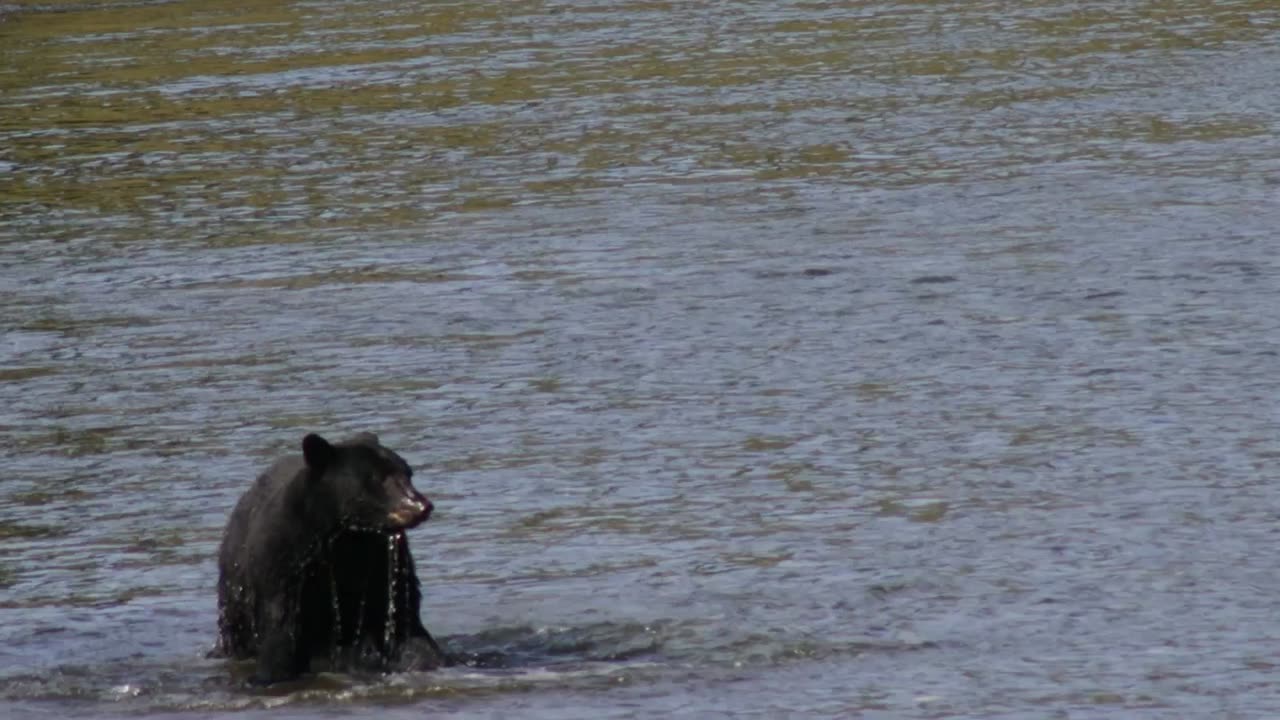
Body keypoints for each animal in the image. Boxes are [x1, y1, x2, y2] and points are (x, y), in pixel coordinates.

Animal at [213, 427, 445, 681]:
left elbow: (404, 617)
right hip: (235, 593)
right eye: (378, 478)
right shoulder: (284, 559)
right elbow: (281, 624)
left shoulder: (382, 560)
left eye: (408, 473)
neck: (346, 536)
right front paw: (269, 673)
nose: (422, 506)